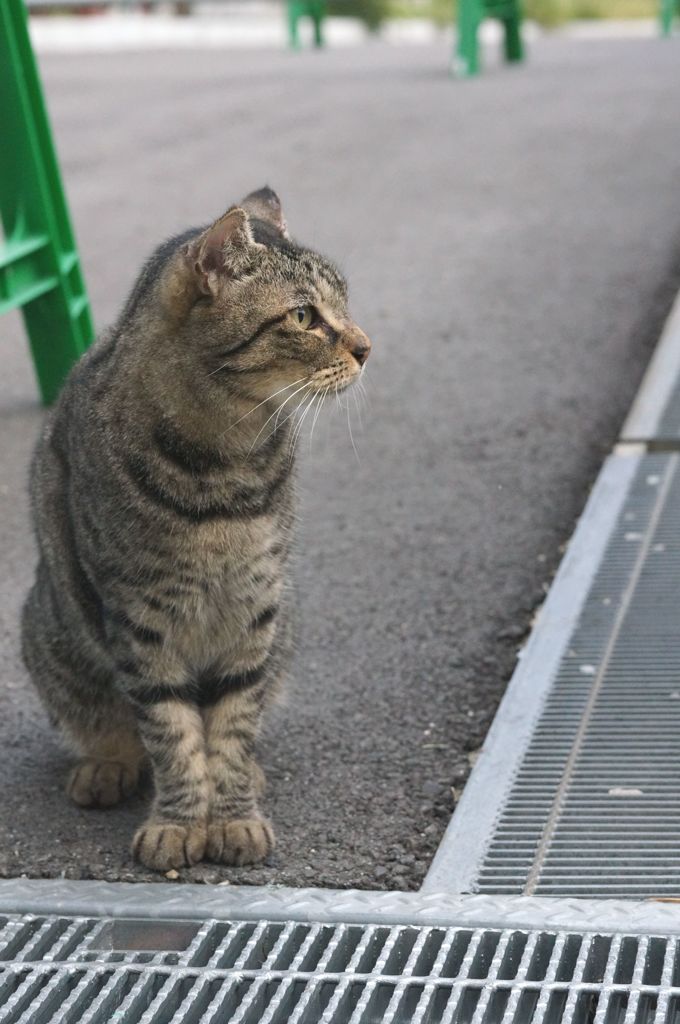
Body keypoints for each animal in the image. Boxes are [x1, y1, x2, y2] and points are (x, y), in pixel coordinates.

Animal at [19, 188, 372, 868]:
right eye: (304, 316)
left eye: (345, 304)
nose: (367, 347)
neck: (222, 463)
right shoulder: (140, 619)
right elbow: (170, 730)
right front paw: (180, 823)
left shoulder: (255, 607)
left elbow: (230, 725)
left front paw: (232, 817)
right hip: (51, 631)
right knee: (113, 727)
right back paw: (106, 764)